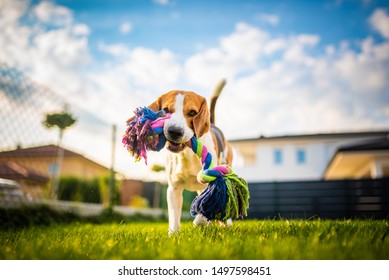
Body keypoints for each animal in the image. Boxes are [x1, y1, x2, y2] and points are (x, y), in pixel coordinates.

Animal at [144, 81, 232, 234]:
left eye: (192, 113)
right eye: (166, 110)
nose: (174, 131)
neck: (187, 154)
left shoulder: (210, 184)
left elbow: (203, 212)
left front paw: (199, 221)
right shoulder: (173, 188)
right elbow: (174, 216)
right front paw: (173, 234)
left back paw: (226, 223)